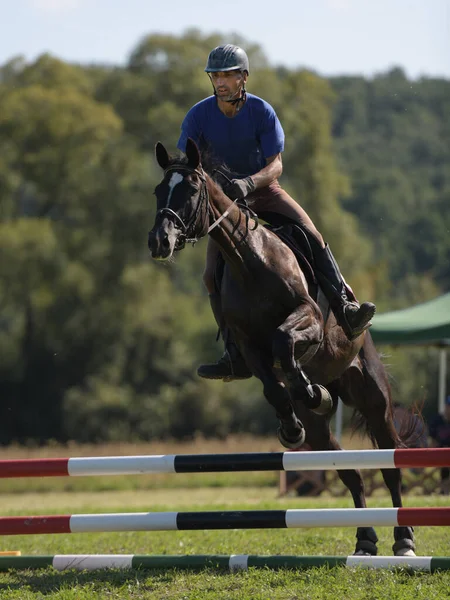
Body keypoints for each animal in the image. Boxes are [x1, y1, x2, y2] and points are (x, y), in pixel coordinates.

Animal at [149, 137, 416, 556]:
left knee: (389, 464)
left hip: (373, 396)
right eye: (159, 190)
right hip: (323, 431)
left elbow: (284, 339)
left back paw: (403, 538)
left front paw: (309, 389)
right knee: (352, 473)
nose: (159, 242)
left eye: (190, 189)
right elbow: (274, 385)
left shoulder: (308, 319)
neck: (250, 260)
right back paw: (364, 539)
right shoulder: (247, 346)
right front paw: (292, 425)